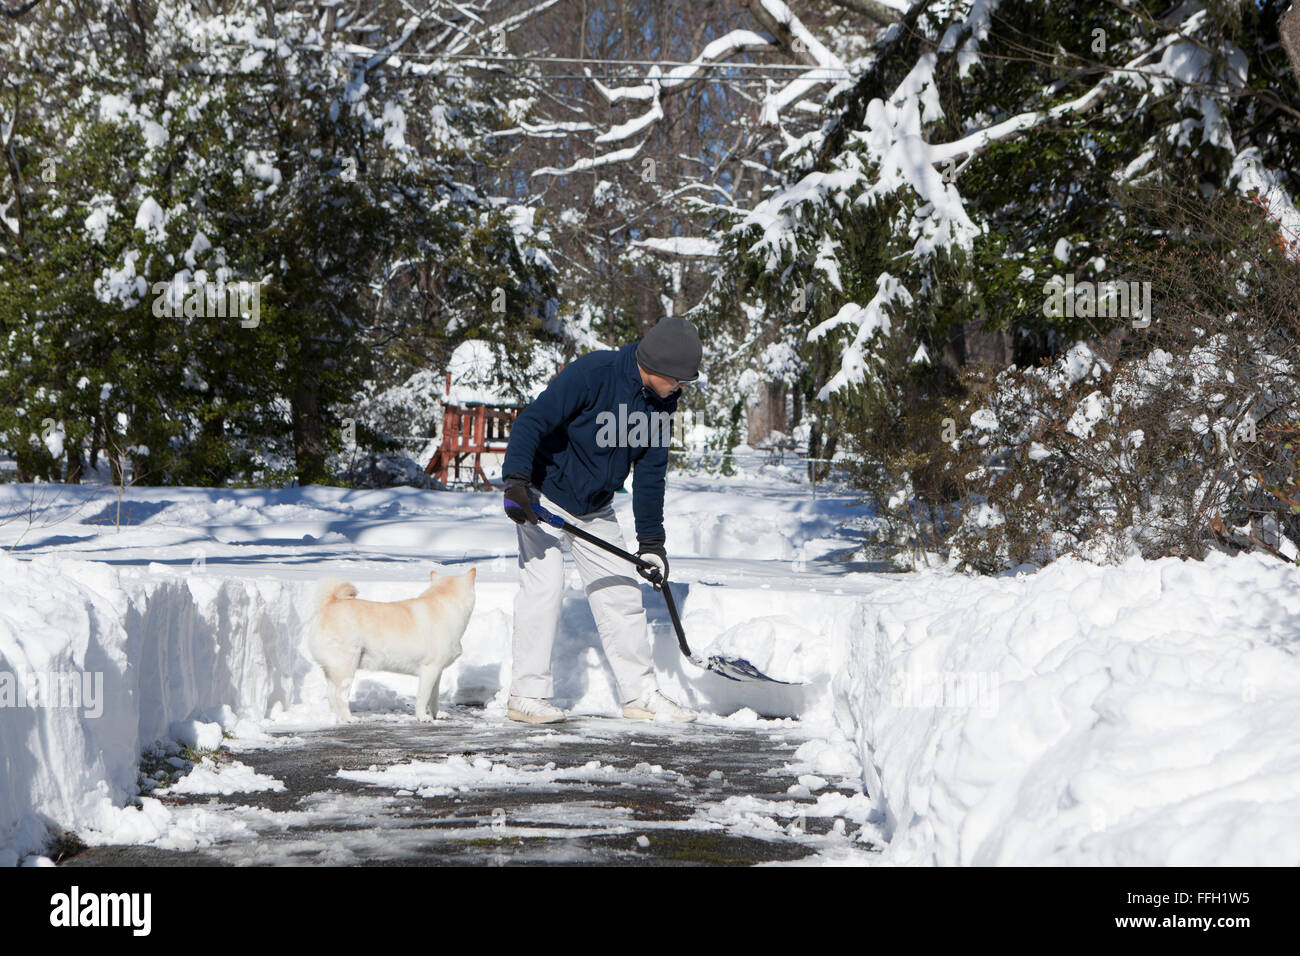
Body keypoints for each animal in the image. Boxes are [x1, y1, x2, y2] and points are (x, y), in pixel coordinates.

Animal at [309, 564, 478, 723]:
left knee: (331, 696)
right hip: (346, 669)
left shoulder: (437, 672)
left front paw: (437, 714)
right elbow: (423, 698)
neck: (445, 605)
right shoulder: (429, 670)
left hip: (332, 671)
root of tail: (329, 603)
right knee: (340, 697)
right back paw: (349, 718)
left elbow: (434, 697)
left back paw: (336, 718)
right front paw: (422, 717)